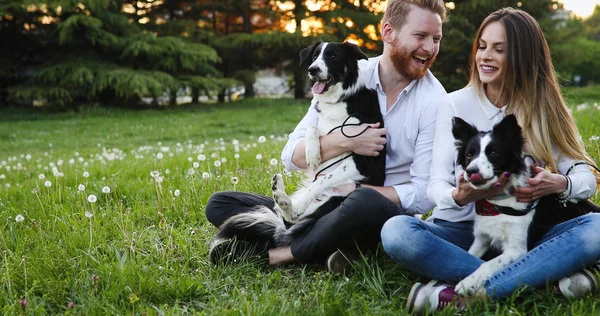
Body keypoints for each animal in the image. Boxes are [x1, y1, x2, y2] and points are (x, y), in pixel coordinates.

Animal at [213, 42, 386, 248]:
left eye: (333, 56)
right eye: (314, 57)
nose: (312, 70)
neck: (339, 100)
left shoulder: (364, 163)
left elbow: (322, 180)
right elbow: (313, 128)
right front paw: (312, 153)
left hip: (335, 198)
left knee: (295, 215)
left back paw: (285, 198)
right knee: (289, 217)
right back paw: (279, 190)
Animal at [450, 115, 536, 296]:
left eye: (494, 153)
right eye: (470, 155)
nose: (471, 171)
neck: (498, 203)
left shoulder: (516, 249)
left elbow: (488, 263)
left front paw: (468, 282)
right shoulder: (481, 239)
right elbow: (469, 254)